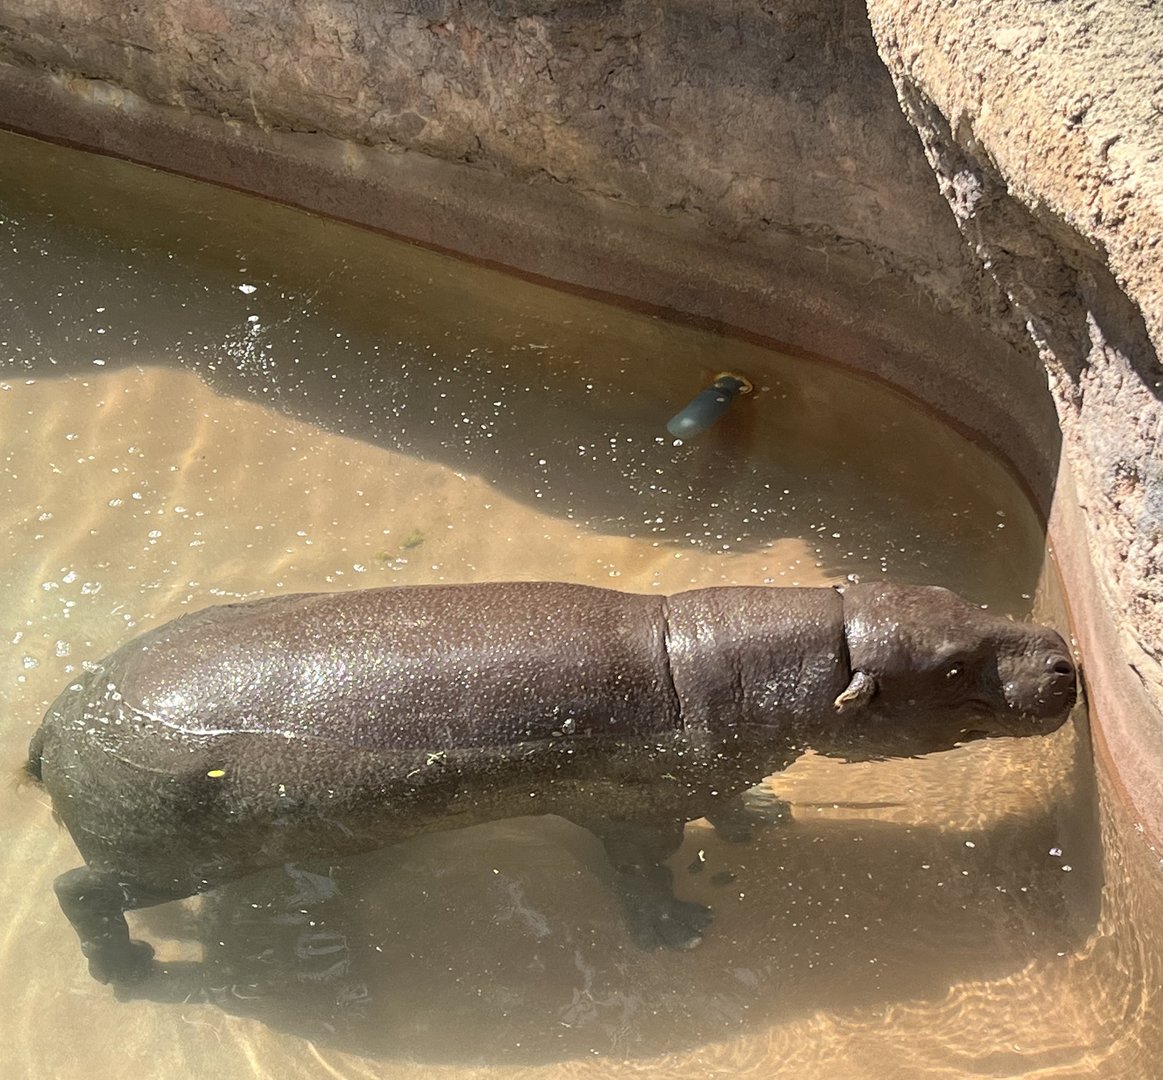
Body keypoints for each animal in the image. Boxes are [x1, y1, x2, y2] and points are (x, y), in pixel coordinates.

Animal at [26, 580, 1076, 985]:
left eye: (950, 597)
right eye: (948, 666)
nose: (1065, 658)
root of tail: (52, 724)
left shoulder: (706, 767)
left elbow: (724, 800)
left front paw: (761, 816)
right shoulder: (634, 810)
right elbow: (642, 869)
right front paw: (677, 931)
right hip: (170, 856)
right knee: (78, 888)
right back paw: (127, 972)